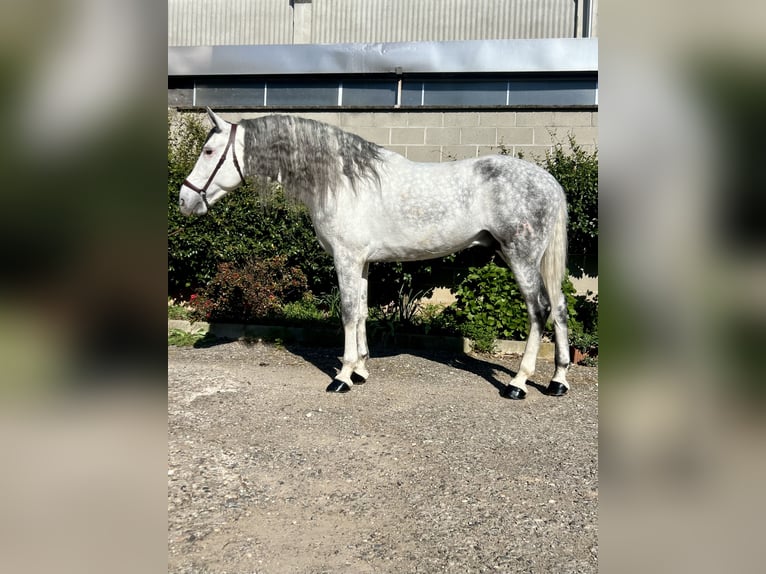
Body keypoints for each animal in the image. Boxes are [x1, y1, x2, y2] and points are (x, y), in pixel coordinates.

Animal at [178, 108, 570, 400]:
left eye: (209, 151)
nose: (184, 200)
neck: (340, 181)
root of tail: (549, 181)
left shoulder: (346, 259)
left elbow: (349, 313)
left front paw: (342, 376)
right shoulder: (362, 263)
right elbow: (364, 312)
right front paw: (361, 370)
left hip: (520, 257)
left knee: (540, 310)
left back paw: (518, 383)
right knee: (560, 308)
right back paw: (558, 381)